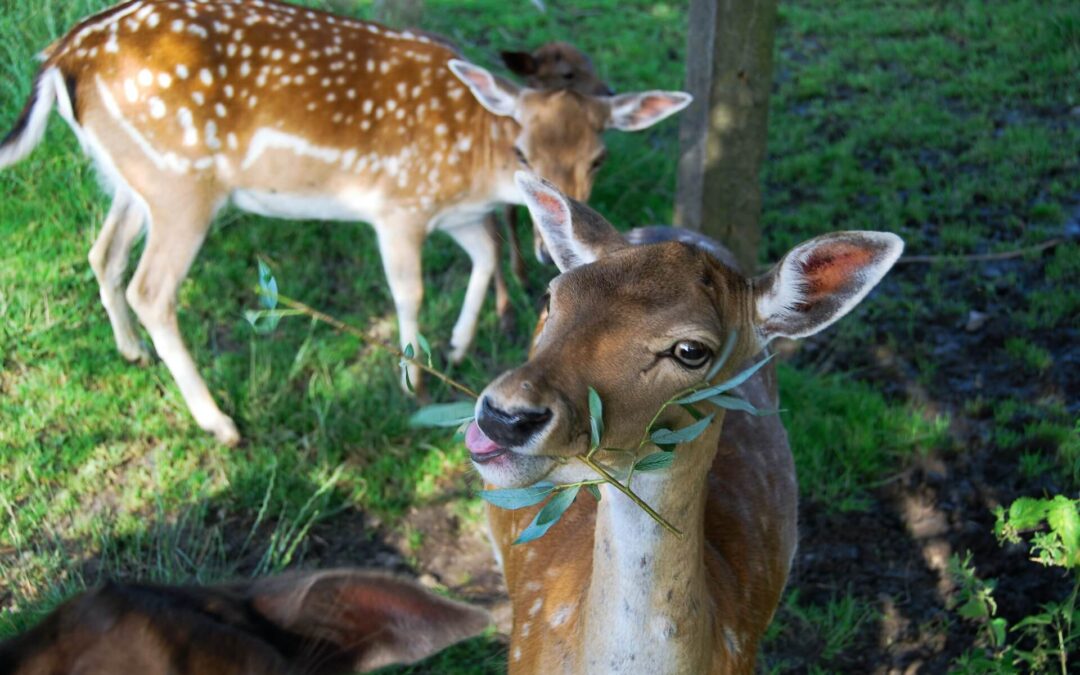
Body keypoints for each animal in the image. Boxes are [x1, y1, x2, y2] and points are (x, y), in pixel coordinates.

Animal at [0, 1, 686, 447]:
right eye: (522, 151)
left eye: (599, 157)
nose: (551, 251)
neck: (472, 165)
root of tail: (61, 55)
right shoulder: (398, 205)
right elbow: (409, 291)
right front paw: (412, 379)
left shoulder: (455, 215)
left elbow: (484, 256)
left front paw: (458, 346)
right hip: (180, 186)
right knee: (151, 288)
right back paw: (219, 423)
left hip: (131, 178)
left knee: (102, 252)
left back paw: (130, 352)